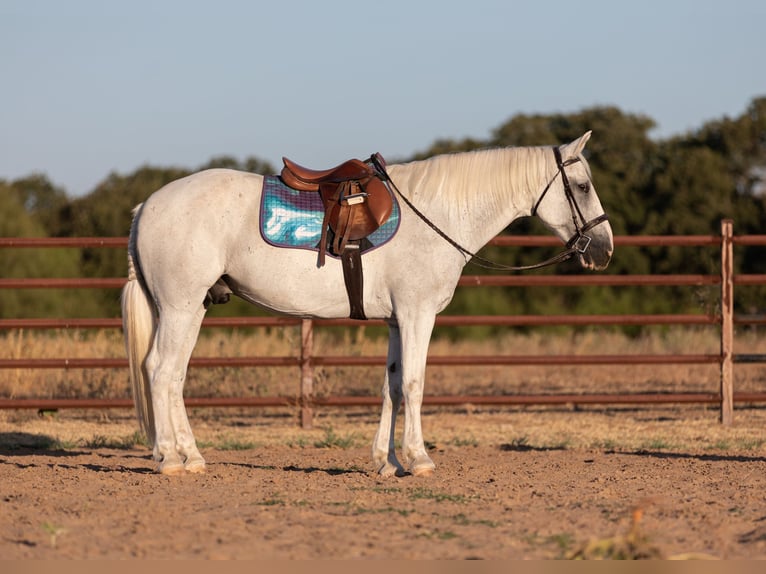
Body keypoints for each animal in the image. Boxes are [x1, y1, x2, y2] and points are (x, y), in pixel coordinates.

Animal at [120, 130, 616, 476]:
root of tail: (146, 207)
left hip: (190, 309)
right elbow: (414, 384)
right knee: (160, 371)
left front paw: (387, 462)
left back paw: (191, 456)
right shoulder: (417, 315)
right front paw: (419, 459)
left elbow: (391, 387)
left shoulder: (397, 321)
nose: (604, 250)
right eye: (582, 186)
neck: (438, 214)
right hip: (181, 308)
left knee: (173, 376)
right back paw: (170, 459)